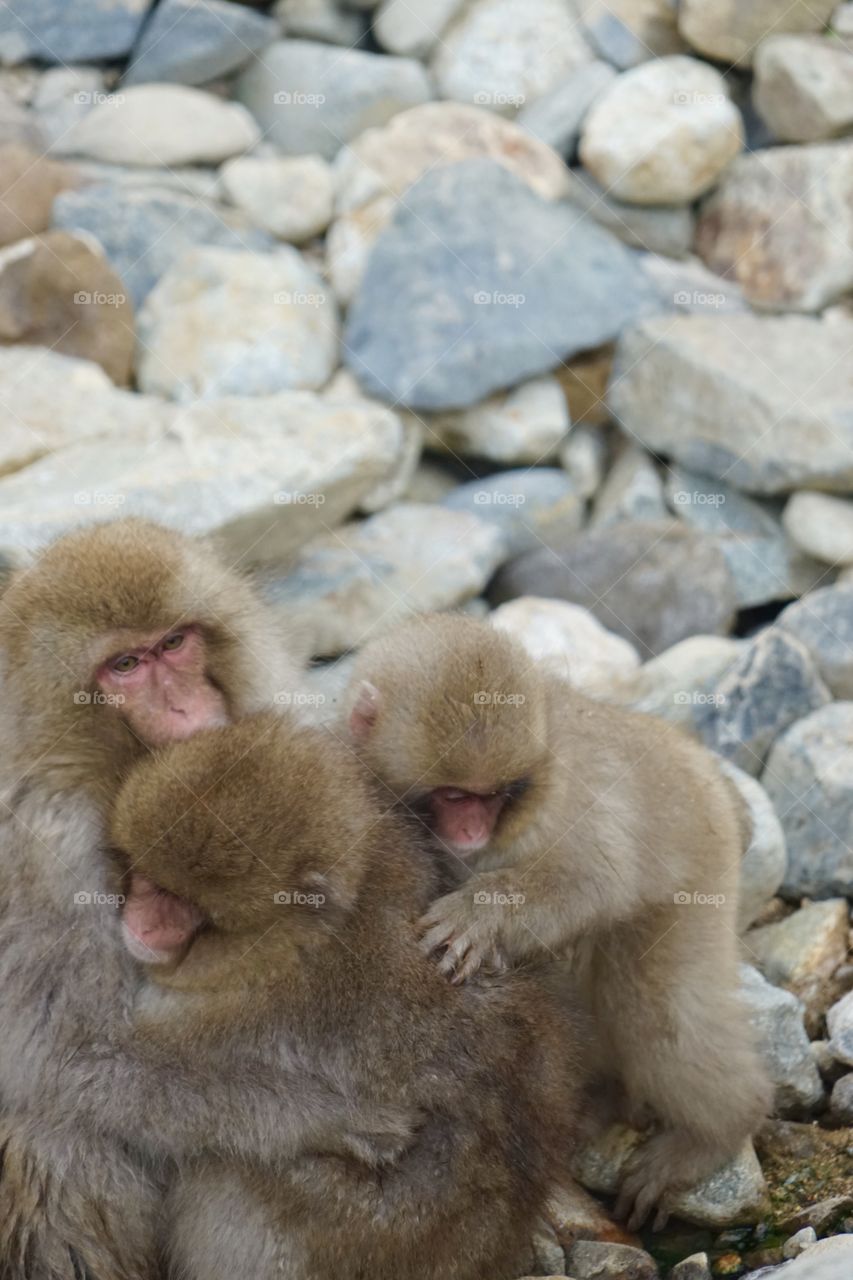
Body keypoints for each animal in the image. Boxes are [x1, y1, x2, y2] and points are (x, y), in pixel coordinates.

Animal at [0, 518, 413, 1280]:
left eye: (173, 643)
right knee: (53, 1135)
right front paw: (323, 1114)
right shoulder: (46, 845)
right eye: (124, 666)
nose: (184, 705)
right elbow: (60, 1057)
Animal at [108, 708, 581, 1280]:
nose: (143, 924)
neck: (295, 944)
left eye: (183, 905)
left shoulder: (223, 1016)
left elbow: (139, 1082)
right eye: (149, 881)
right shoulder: (391, 853)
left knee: (228, 1172)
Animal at [344, 611, 772, 1232]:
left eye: (494, 795)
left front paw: (481, 912)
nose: (472, 833)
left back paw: (715, 1131)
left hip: (698, 861)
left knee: (652, 1009)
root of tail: (705, 768)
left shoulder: (566, 798)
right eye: (455, 796)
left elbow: (593, 880)